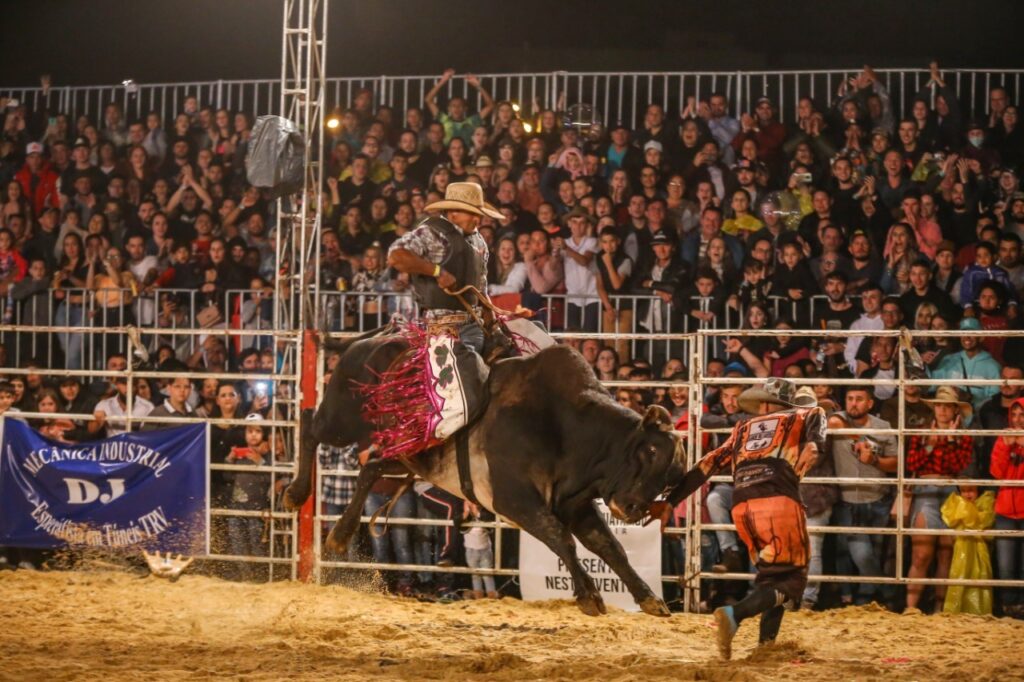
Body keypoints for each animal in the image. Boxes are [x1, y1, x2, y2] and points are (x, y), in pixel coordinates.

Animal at [280, 333, 684, 614]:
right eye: (649, 451)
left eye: (673, 471)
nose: (634, 508)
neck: (567, 427)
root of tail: (364, 341)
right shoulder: (513, 500)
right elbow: (562, 539)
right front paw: (588, 596)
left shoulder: (576, 506)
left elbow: (610, 547)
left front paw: (649, 598)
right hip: (344, 417)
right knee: (310, 423)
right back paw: (296, 493)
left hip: (406, 455)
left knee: (370, 468)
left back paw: (340, 533)